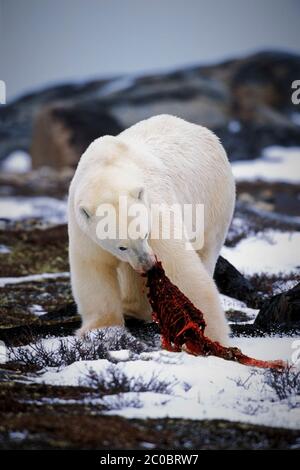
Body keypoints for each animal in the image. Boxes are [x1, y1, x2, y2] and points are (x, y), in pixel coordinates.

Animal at [68, 114, 237, 346]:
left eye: (145, 234)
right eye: (121, 246)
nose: (147, 264)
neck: (107, 168)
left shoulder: (154, 208)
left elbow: (180, 266)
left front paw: (213, 336)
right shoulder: (83, 228)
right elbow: (93, 267)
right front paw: (100, 328)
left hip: (214, 200)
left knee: (207, 247)